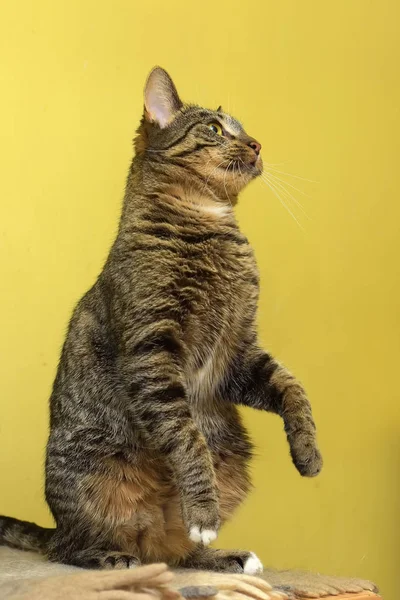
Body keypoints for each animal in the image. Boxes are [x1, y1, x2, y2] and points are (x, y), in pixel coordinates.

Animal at [0, 64, 322, 572]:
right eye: (215, 129)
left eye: (244, 130)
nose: (257, 144)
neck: (208, 223)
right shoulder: (152, 351)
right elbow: (189, 439)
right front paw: (203, 512)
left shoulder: (238, 353)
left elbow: (292, 387)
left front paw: (308, 452)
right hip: (94, 478)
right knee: (72, 548)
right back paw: (113, 557)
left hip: (234, 459)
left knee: (178, 553)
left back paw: (221, 556)